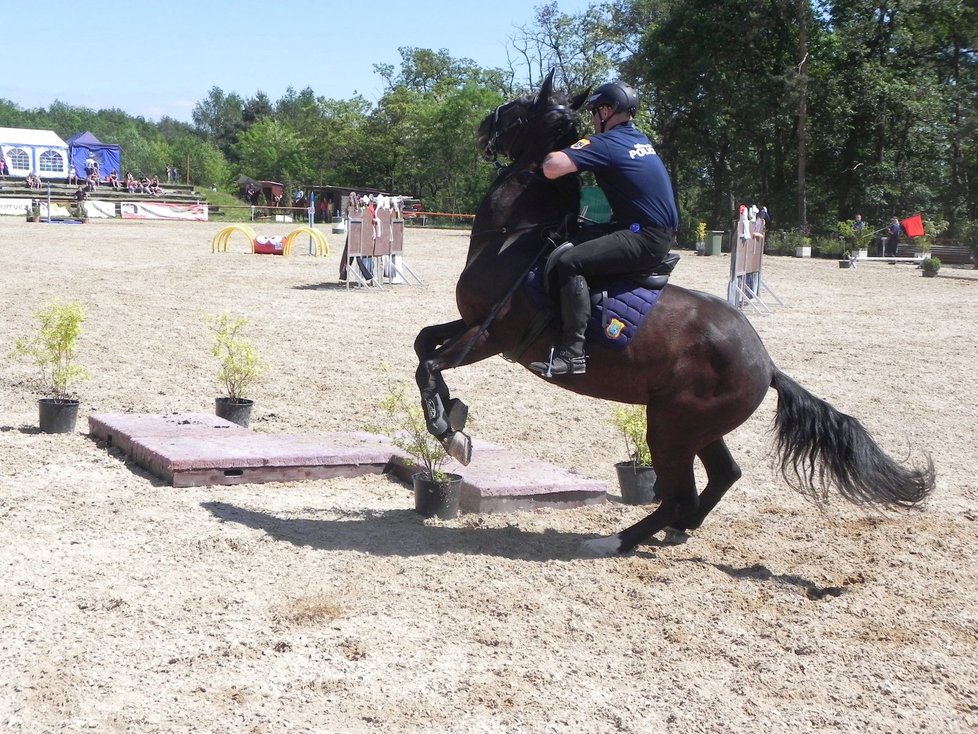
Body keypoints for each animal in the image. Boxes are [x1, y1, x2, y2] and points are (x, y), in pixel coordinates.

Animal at [412, 73, 932, 556]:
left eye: (520, 106)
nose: (485, 126)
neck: (515, 237)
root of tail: (766, 364)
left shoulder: (493, 335)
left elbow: (430, 365)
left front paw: (447, 429)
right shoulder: (472, 323)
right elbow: (422, 343)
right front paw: (453, 415)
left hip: (670, 428)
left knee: (679, 494)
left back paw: (617, 540)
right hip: (696, 428)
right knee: (722, 476)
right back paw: (680, 530)